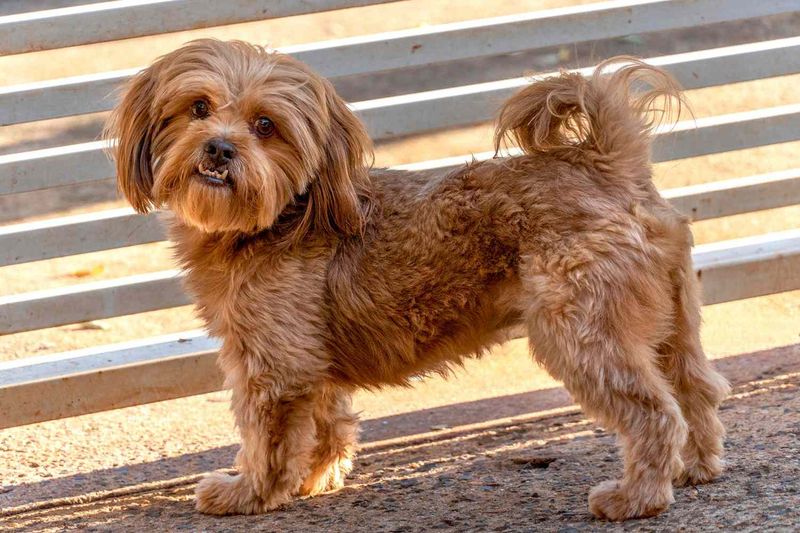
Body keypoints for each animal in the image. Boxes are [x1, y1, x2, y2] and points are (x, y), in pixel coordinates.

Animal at [104, 38, 732, 520]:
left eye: (266, 125)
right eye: (198, 107)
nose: (218, 148)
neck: (279, 217)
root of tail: (608, 166)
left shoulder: (275, 366)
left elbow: (269, 439)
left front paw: (248, 493)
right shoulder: (312, 361)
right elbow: (329, 423)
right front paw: (315, 477)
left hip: (581, 334)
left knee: (654, 414)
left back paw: (637, 498)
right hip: (672, 324)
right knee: (697, 390)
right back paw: (697, 468)